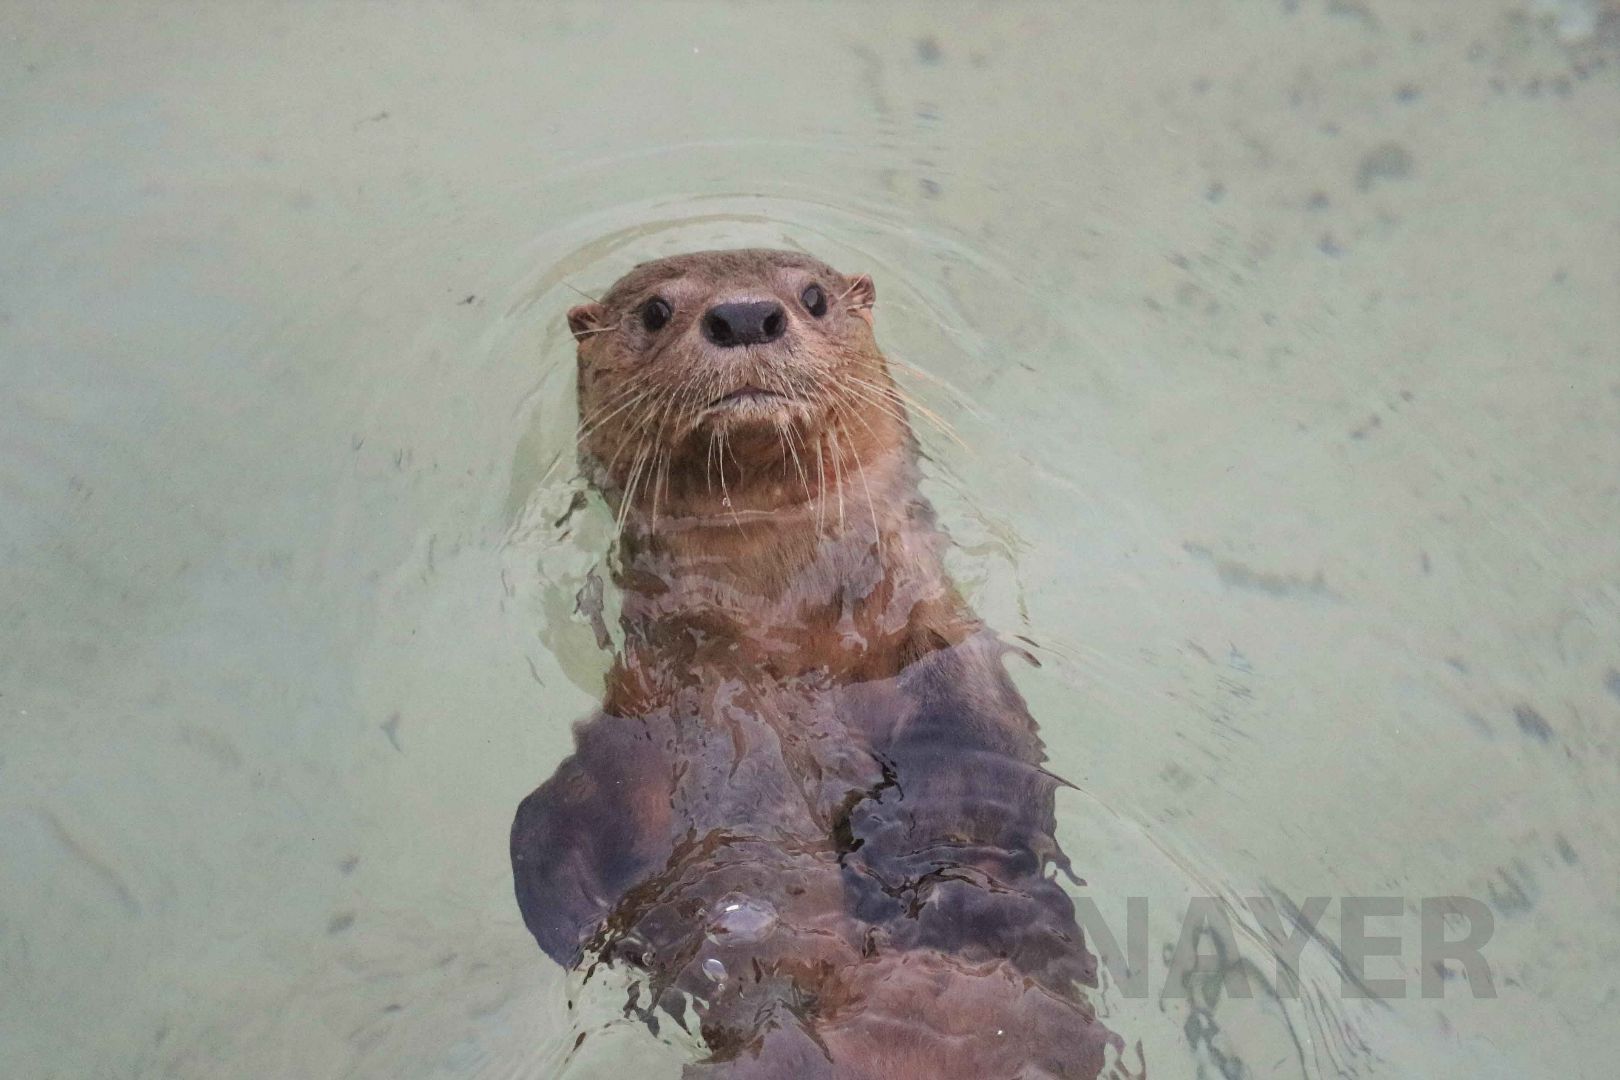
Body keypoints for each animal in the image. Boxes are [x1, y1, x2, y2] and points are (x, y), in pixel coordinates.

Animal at [511, 249, 1121, 1078]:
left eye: (812, 296)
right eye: (655, 311)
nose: (743, 314)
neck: (783, 620)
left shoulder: (943, 645)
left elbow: (986, 765)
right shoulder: (656, 694)